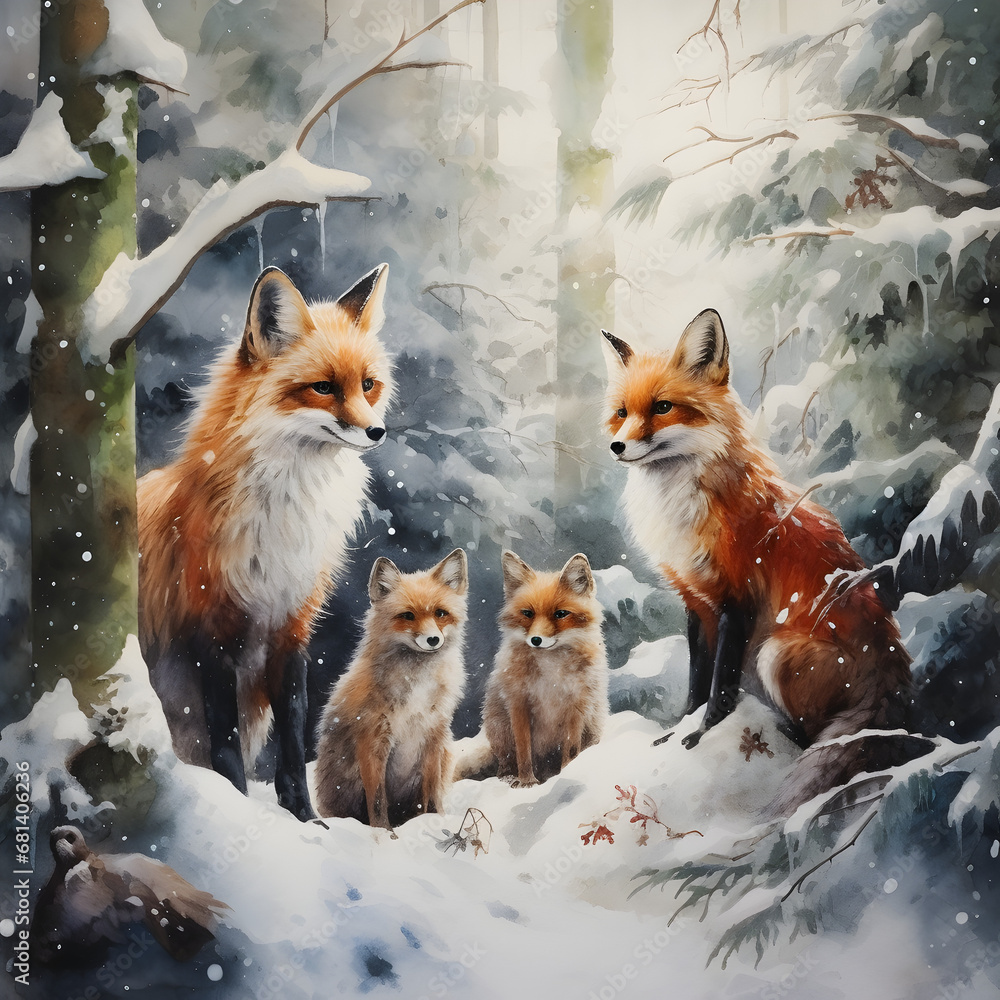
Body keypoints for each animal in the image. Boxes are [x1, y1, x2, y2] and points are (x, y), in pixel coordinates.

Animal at [138, 263, 393, 822]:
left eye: (367, 385)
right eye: (322, 387)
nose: (378, 432)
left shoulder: (291, 627)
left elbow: (294, 737)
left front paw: (304, 817)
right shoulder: (210, 630)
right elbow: (226, 743)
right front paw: (236, 808)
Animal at [313, 549, 468, 833]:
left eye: (440, 613)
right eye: (407, 616)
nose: (433, 640)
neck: (416, 685)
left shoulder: (433, 736)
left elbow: (431, 795)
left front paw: (433, 822)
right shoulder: (373, 739)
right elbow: (376, 800)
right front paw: (384, 835)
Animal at [481, 551, 609, 787]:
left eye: (560, 614)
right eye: (528, 613)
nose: (536, 640)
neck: (552, 674)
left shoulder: (576, 706)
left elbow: (571, 748)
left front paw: (567, 772)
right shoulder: (518, 703)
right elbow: (523, 751)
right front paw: (527, 781)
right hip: (499, 727)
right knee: (505, 762)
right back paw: (510, 776)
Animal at [601, 309, 930, 815]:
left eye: (662, 407)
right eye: (621, 412)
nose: (617, 447)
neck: (682, 508)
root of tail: (894, 677)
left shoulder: (737, 598)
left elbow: (720, 684)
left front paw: (702, 734)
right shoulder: (695, 601)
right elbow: (697, 680)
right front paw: (677, 730)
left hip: (775, 652)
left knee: (813, 737)